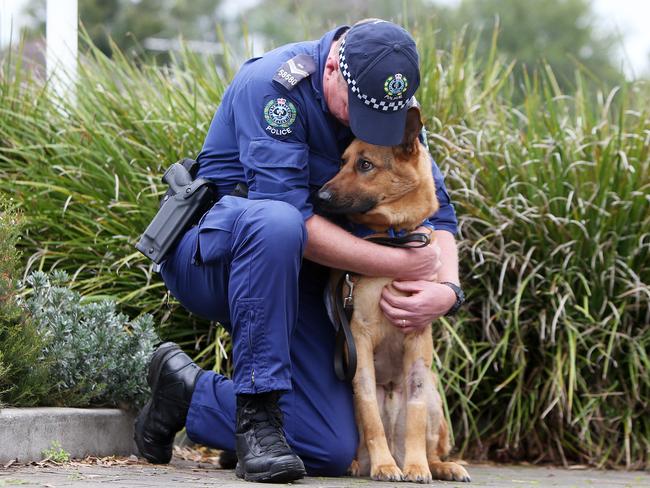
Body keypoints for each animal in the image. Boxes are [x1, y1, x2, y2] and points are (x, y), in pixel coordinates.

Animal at [316, 105, 468, 482]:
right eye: (342, 161)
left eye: (365, 164)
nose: (318, 198)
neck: (395, 238)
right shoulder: (360, 341)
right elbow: (370, 412)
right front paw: (385, 465)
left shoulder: (417, 340)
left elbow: (414, 411)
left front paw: (415, 467)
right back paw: (363, 464)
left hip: (434, 395)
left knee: (430, 439)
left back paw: (438, 465)